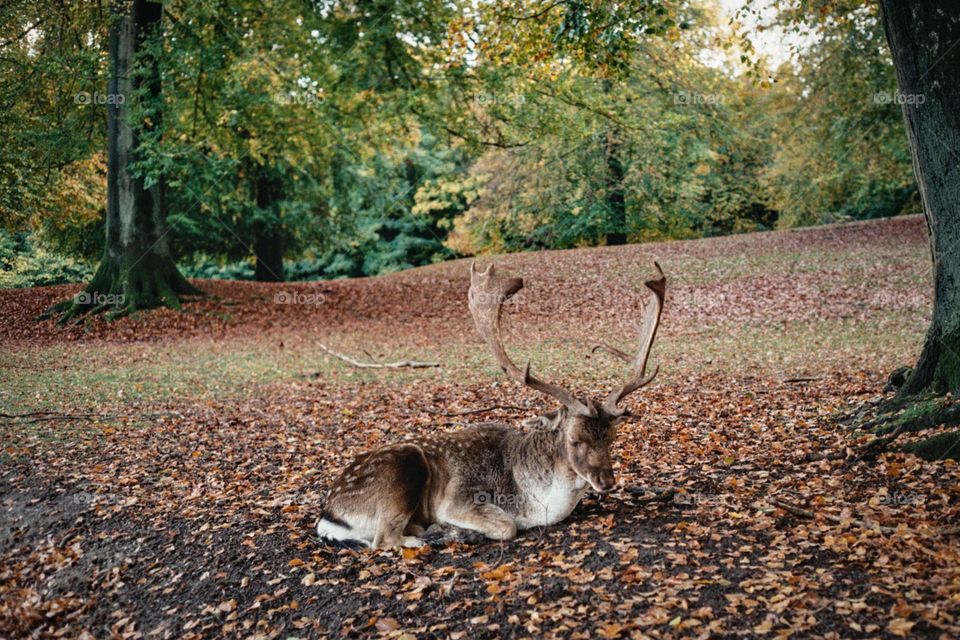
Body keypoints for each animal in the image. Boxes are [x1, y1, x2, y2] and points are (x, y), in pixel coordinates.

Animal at [318, 262, 664, 548]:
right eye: (574, 439)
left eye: (612, 437)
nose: (607, 481)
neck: (538, 503)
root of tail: (329, 515)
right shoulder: (459, 499)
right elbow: (507, 526)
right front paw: (456, 530)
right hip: (403, 468)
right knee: (384, 539)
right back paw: (438, 534)